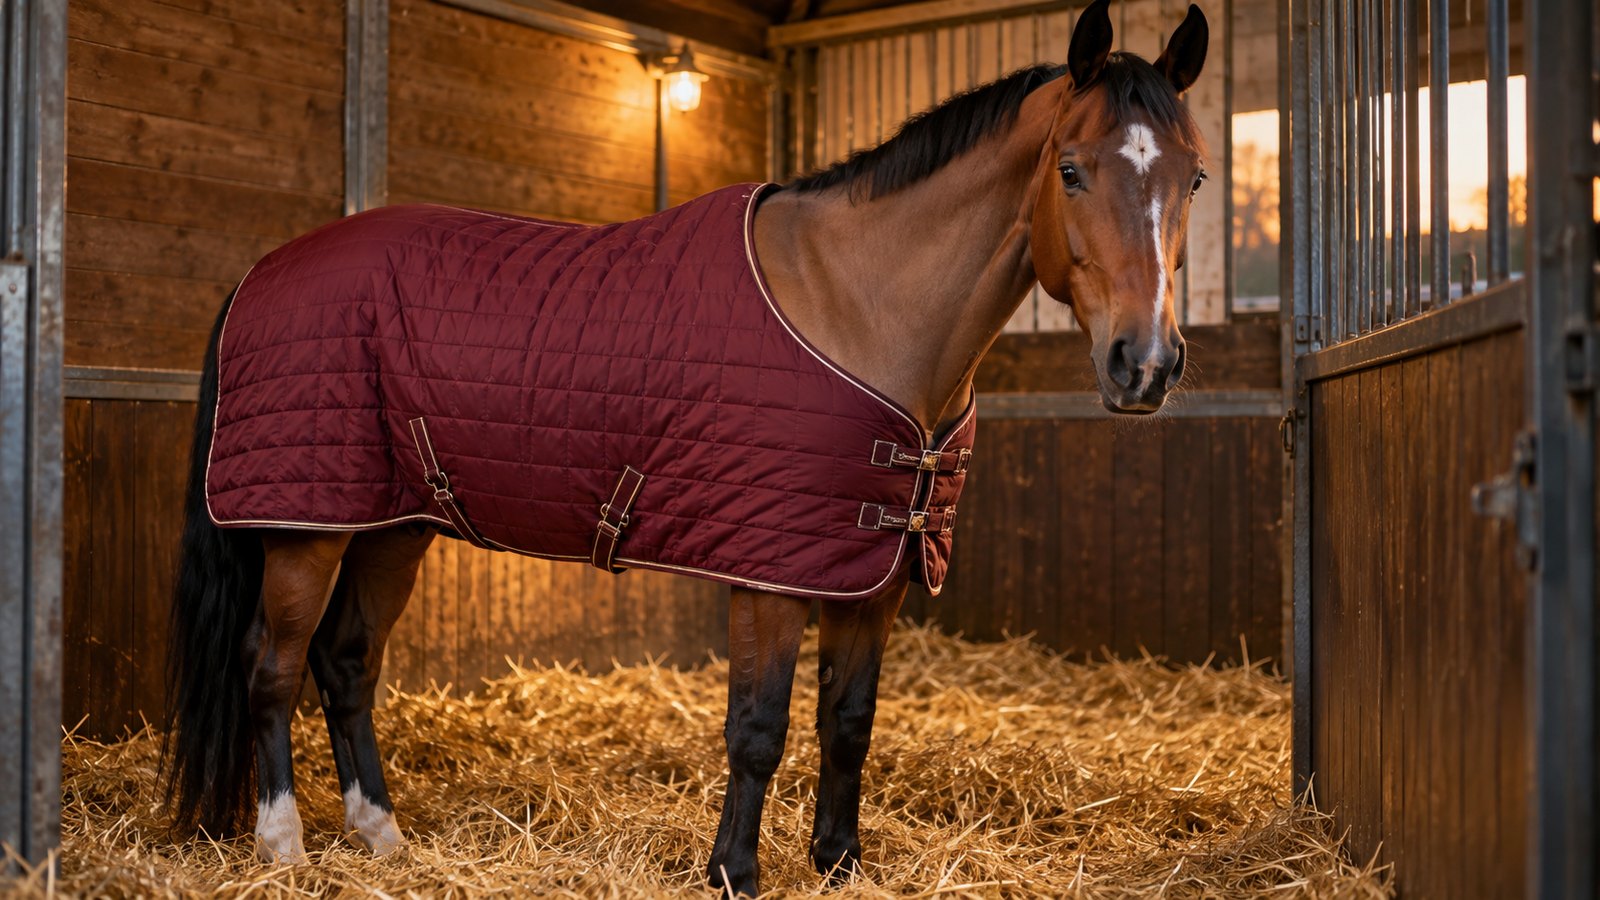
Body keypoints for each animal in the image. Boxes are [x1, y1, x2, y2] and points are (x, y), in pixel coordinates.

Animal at [159, 0, 1208, 893]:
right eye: (1071, 169)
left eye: (1192, 177)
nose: (1146, 364)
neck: (859, 302)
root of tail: (263, 271)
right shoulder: (771, 574)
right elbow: (758, 728)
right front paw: (733, 872)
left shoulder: (871, 574)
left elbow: (848, 722)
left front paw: (838, 863)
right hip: (307, 528)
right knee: (272, 666)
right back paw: (283, 845)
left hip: (393, 523)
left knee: (345, 664)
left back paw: (380, 837)